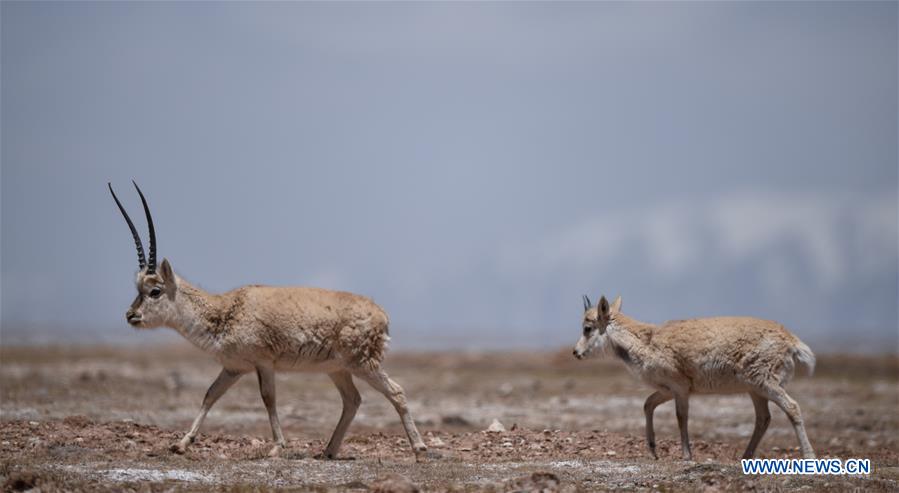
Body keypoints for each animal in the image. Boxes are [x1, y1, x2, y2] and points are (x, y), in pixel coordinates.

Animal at [107, 181, 430, 458]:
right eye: (138, 289)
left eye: (155, 290)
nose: (131, 315)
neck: (226, 310)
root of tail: (381, 314)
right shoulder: (234, 368)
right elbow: (210, 395)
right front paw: (182, 443)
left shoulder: (263, 363)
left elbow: (268, 398)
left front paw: (276, 447)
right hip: (338, 369)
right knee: (352, 400)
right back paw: (327, 451)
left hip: (362, 364)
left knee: (396, 392)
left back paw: (419, 449)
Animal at [572, 294, 820, 460]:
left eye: (587, 328)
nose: (575, 352)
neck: (647, 340)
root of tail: (792, 341)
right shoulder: (668, 390)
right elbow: (648, 404)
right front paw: (653, 450)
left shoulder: (680, 389)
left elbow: (681, 417)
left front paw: (686, 455)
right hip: (755, 390)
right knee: (763, 418)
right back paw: (745, 456)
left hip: (765, 383)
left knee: (792, 407)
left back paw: (809, 456)